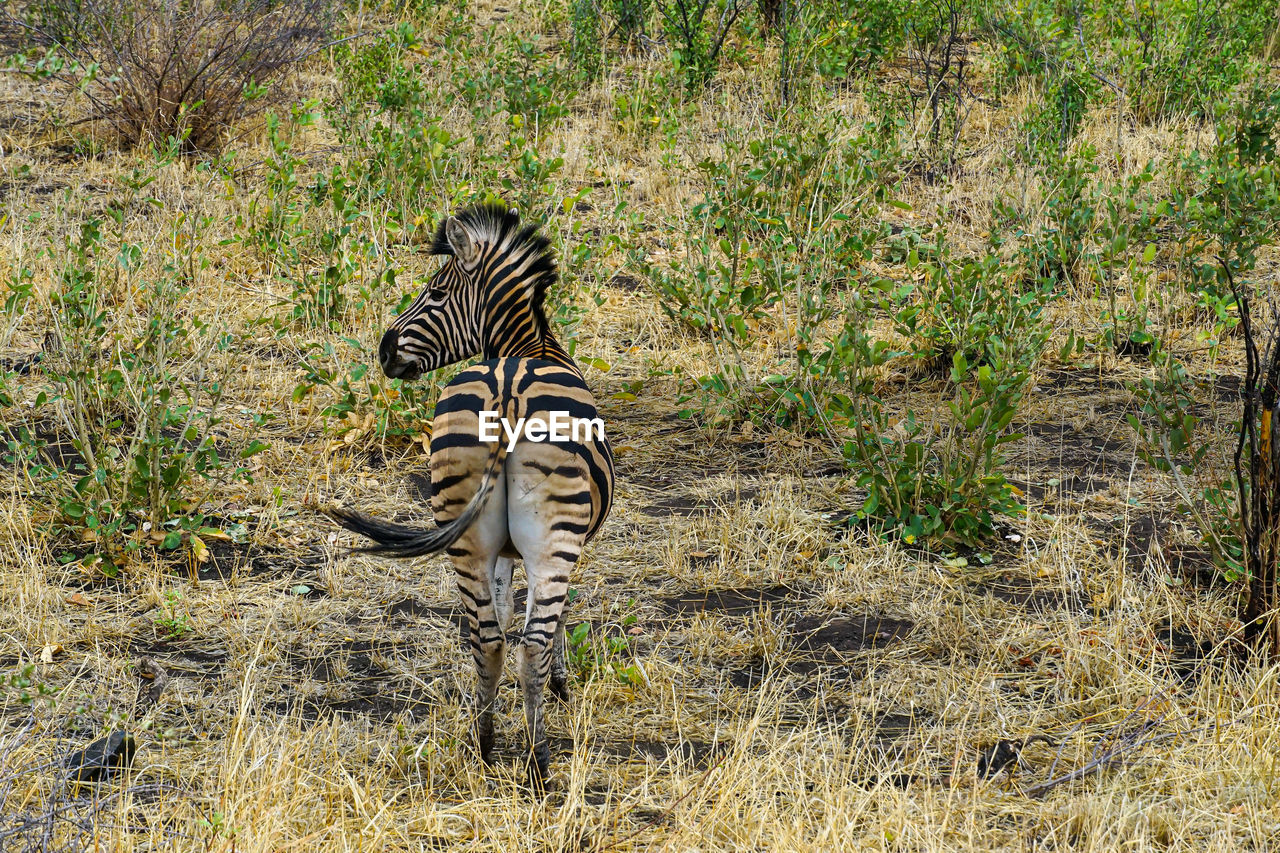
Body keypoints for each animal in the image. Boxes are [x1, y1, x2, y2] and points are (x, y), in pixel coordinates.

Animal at [325, 202, 614, 788]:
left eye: (435, 292)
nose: (384, 350)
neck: (527, 346)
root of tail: (507, 393)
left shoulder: (500, 551)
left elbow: (503, 609)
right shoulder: (563, 546)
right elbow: (556, 616)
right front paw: (562, 684)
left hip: (463, 531)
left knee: (488, 638)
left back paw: (484, 745)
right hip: (554, 539)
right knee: (528, 646)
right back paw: (538, 764)